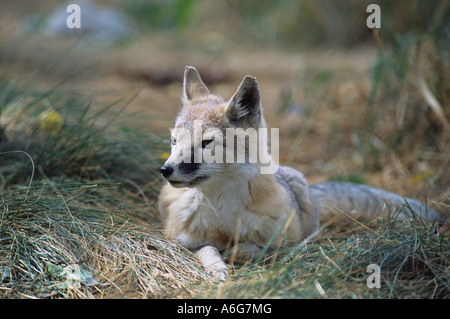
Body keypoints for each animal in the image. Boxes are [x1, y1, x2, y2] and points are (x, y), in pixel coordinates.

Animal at [157, 65, 442, 280]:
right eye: (174, 141)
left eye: (206, 143)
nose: (165, 170)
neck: (221, 212)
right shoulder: (178, 240)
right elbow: (206, 249)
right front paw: (217, 266)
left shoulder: (278, 243)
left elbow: (249, 249)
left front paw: (232, 253)